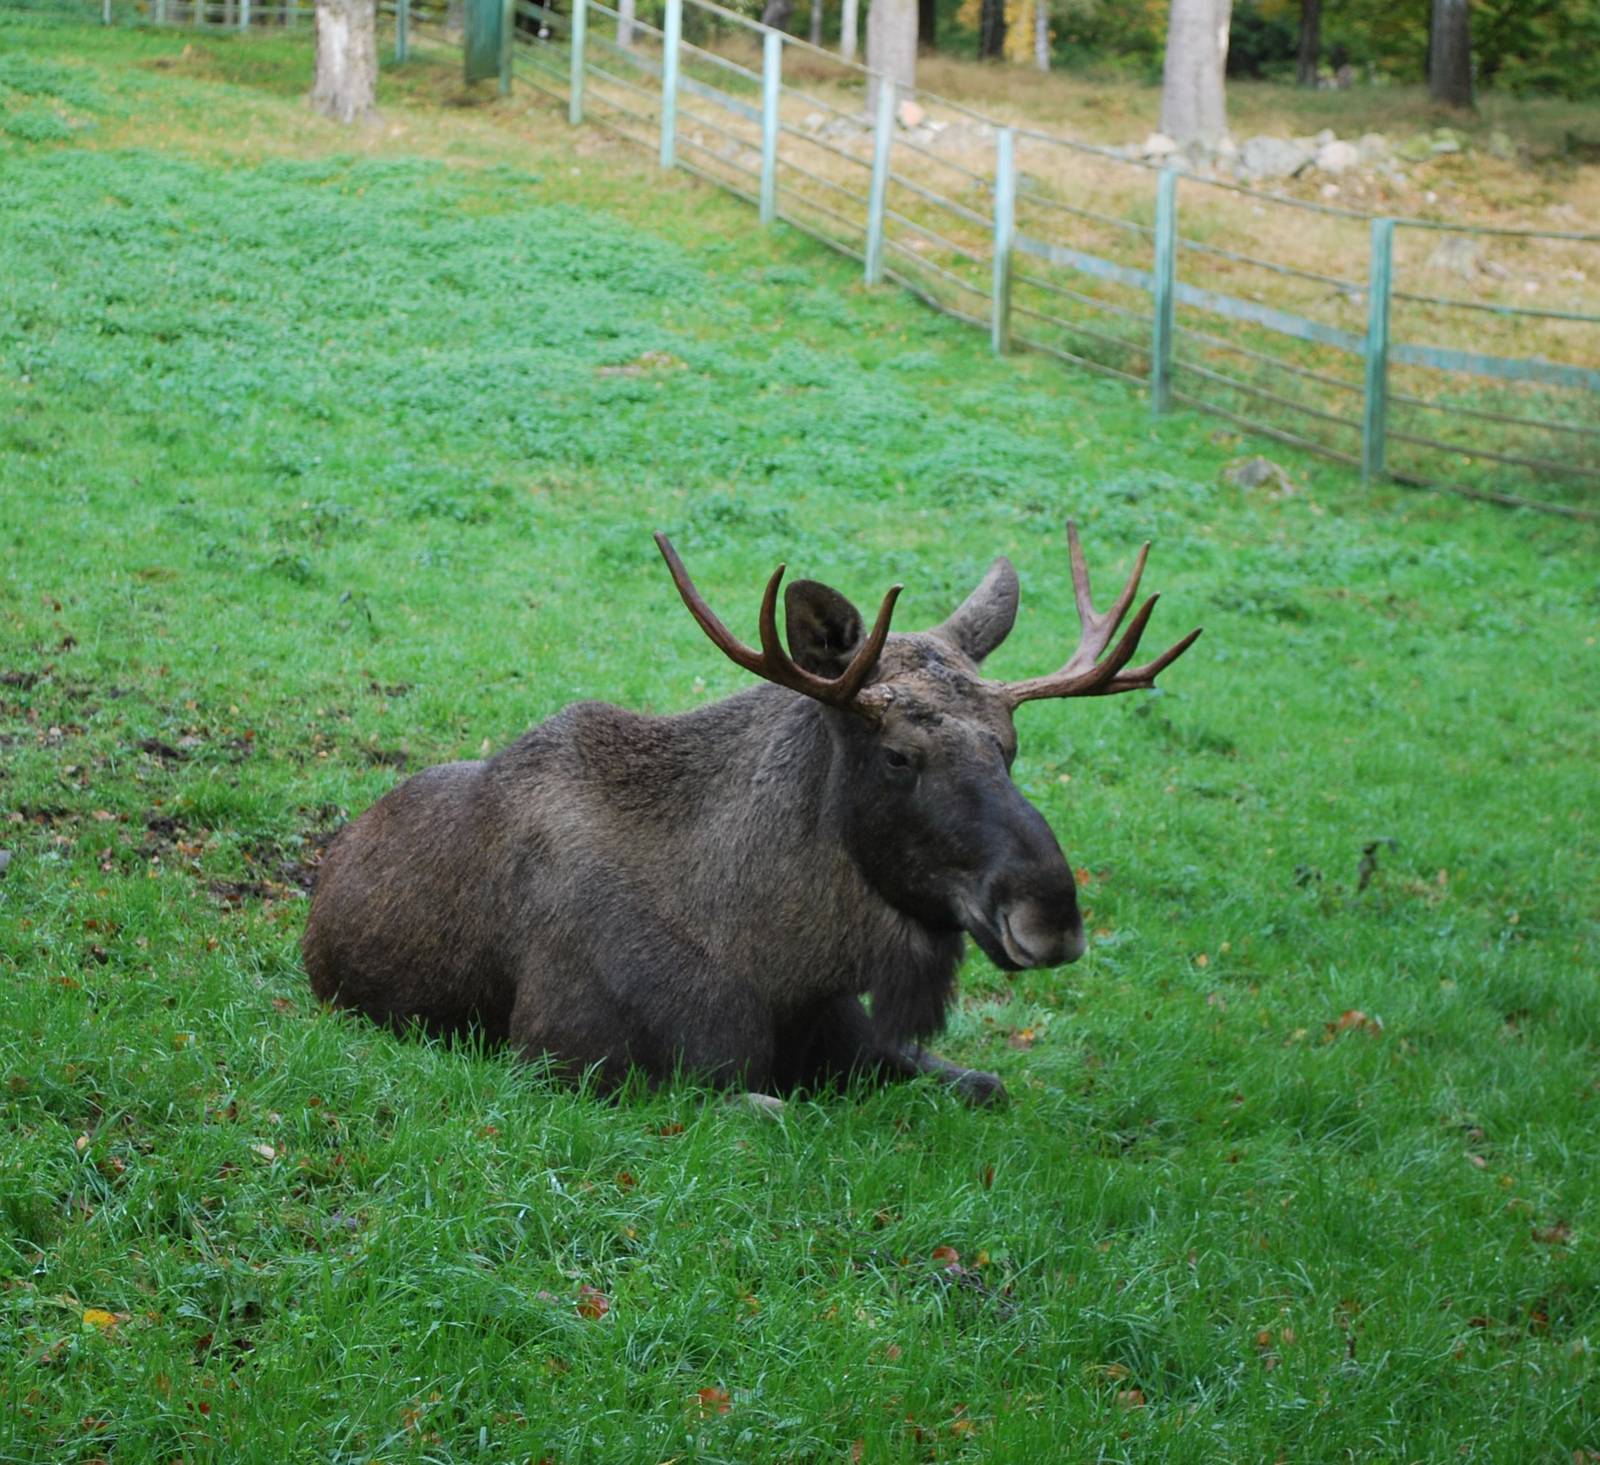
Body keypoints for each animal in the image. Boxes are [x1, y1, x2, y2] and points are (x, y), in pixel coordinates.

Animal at [302, 524, 1200, 1107]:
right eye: (898, 755)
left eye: (1009, 745)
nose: (1050, 914)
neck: (783, 962)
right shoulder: (566, 1060)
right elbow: (767, 1108)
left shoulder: (864, 1043)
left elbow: (989, 1083)